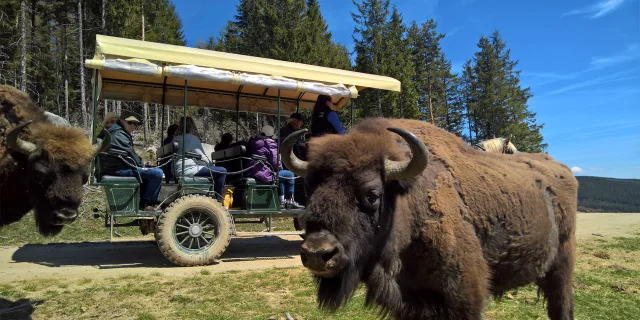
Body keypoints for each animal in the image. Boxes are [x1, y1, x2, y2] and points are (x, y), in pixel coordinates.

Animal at [282, 118, 576, 320]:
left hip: (561, 266)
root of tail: (563, 171)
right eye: (310, 187)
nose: (317, 253)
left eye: (372, 195)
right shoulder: (410, 300)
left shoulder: (465, 295)